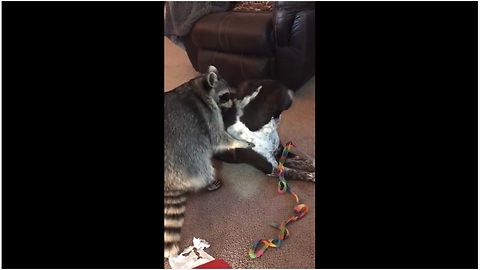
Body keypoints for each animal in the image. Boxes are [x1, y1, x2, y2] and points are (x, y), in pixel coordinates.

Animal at [164, 66, 255, 260]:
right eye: (226, 95)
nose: (234, 103)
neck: (198, 88)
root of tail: (169, 181)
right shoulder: (208, 113)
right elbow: (218, 138)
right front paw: (240, 142)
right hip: (187, 153)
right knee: (202, 163)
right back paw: (208, 181)